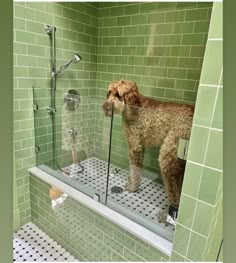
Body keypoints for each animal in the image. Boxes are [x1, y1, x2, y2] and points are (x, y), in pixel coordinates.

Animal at [103, 81, 194, 221]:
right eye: (109, 92)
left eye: (118, 94)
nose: (105, 107)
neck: (134, 105)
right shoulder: (140, 147)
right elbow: (136, 170)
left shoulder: (135, 147)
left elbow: (134, 170)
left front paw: (133, 187)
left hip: (168, 157)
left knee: (174, 192)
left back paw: (167, 215)